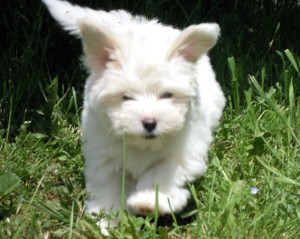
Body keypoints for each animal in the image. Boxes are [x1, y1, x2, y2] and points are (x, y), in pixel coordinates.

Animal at [41, 0, 225, 232]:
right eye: (126, 97)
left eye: (167, 95)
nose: (150, 123)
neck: (142, 145)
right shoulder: (103, 157)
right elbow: (107, 187)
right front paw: (105, 220)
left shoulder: (184, 152)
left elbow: (161, 173)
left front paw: (148, 201)